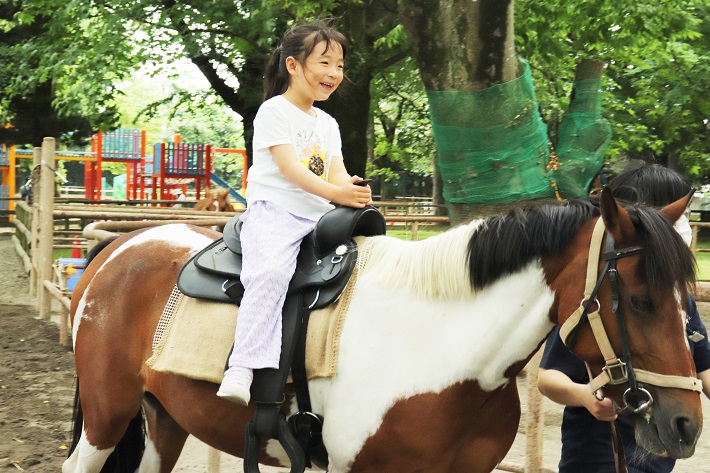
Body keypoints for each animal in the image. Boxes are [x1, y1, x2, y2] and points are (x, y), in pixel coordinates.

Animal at [64, 188, 704, 472]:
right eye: (641, 301)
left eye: (686, 309)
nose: (686, 425)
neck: (442, 356)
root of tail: (120, 245)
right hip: (107, 415)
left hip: (164, 417)